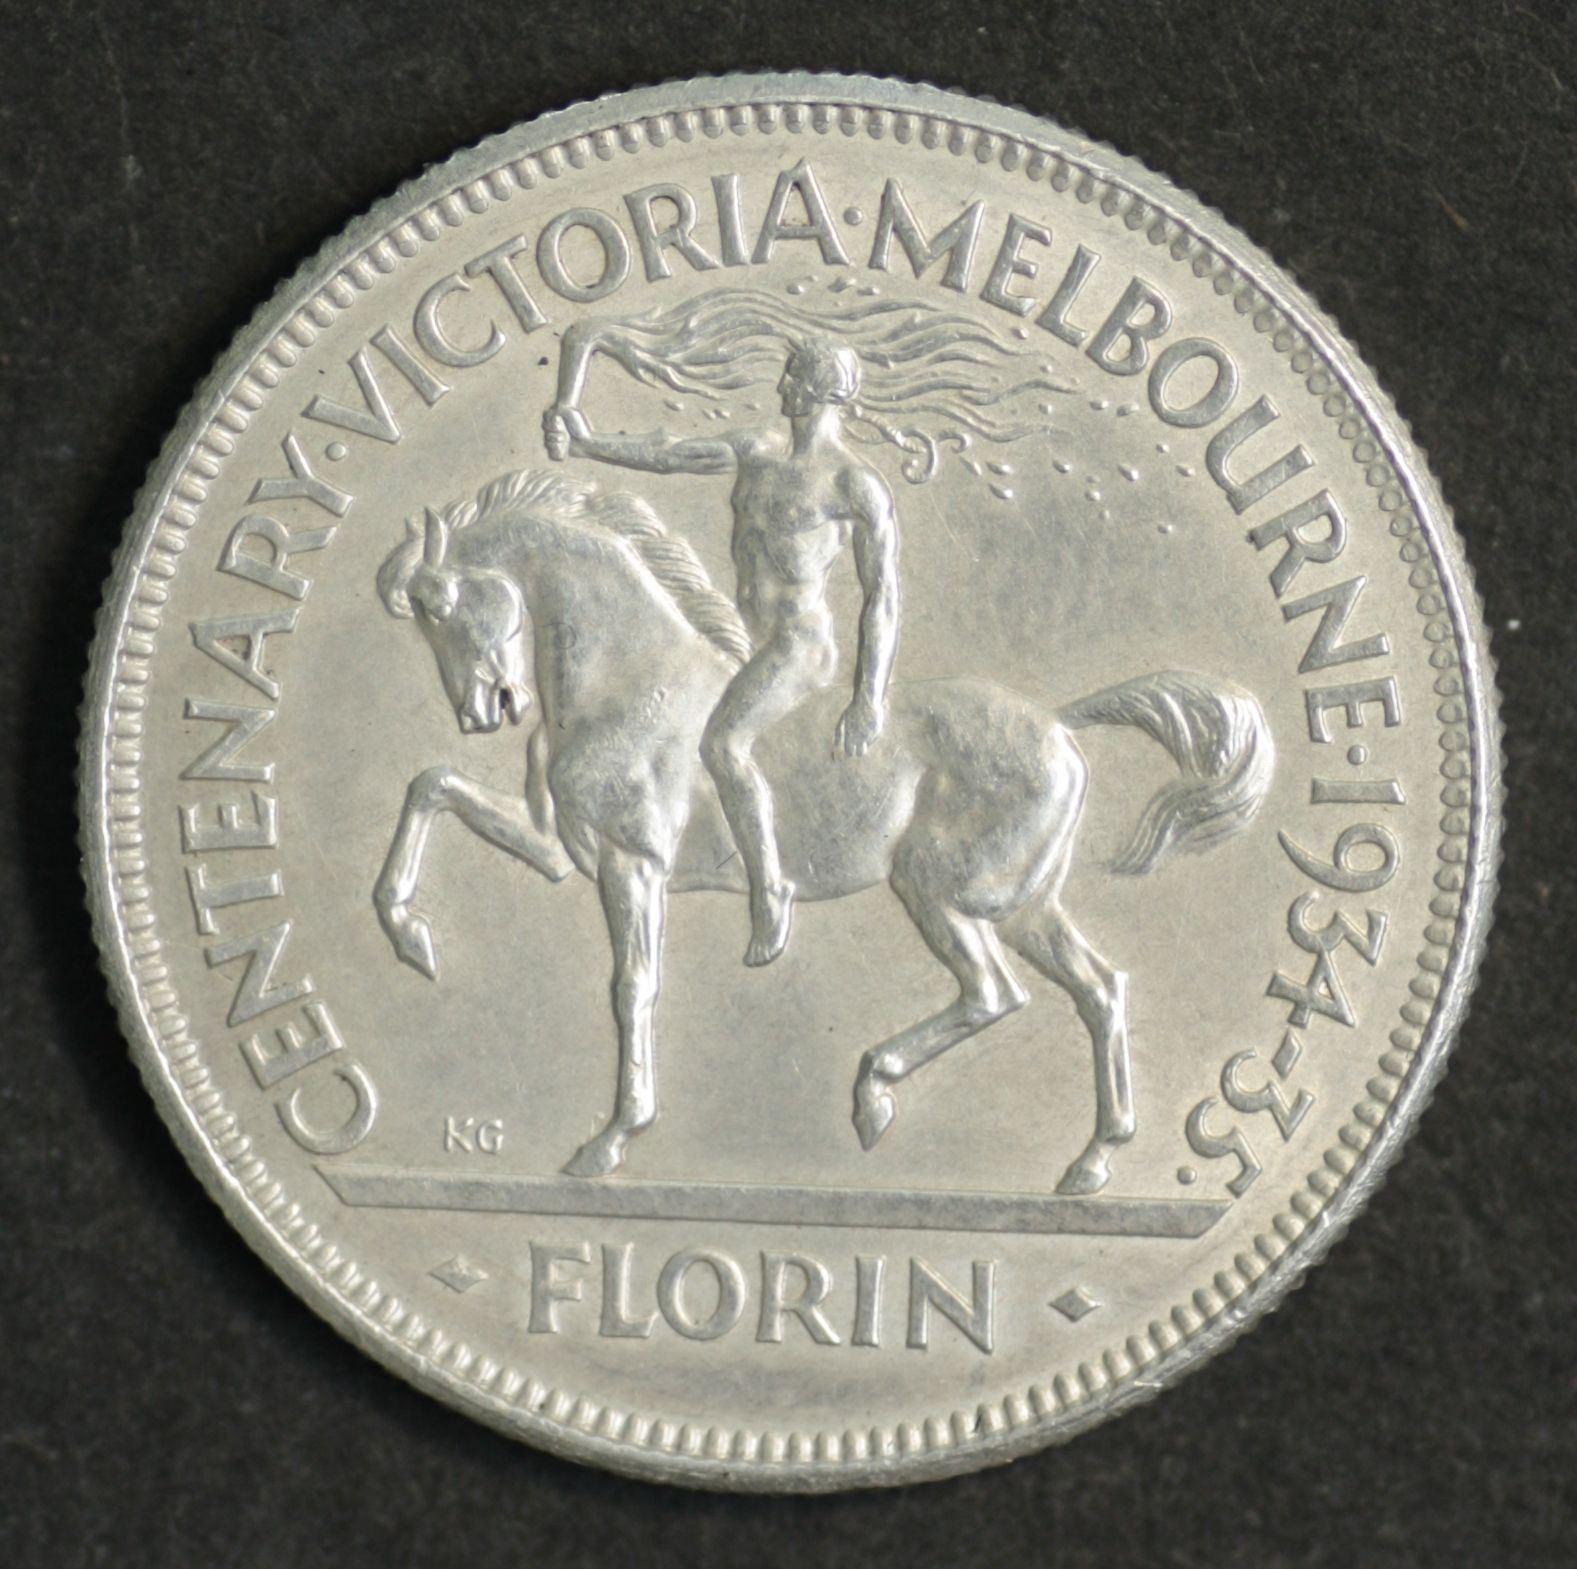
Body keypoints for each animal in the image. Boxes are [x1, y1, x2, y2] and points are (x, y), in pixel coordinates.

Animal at [373, 469, 1274, 1193]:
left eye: (440, 602)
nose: (482, 707)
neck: (626, 683)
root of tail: (1057, 722)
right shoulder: (561, 849)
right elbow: (430, 786)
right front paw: (410, 934)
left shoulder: (633, 865)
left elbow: (632, 988)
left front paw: (611, 1139)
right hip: (1023, 904)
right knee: (1098, 987)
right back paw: (1091, 1158)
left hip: (939, 888)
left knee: (994, 992)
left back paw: (874, 1091)